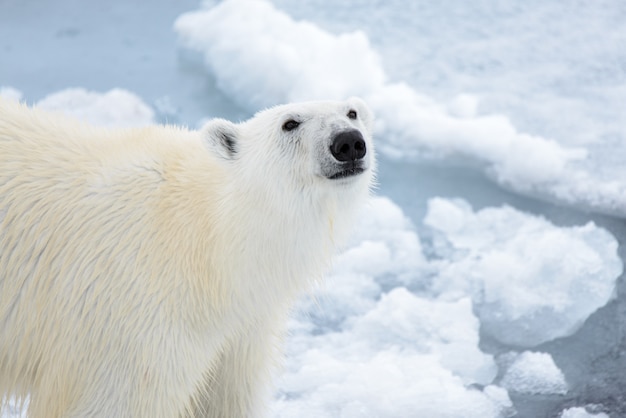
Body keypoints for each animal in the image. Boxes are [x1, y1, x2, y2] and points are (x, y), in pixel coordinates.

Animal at [0, 97, 372, 418]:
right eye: (289, 123)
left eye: (352, 112)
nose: (348, 142)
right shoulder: (132, 320)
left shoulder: (242, 331)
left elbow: (226, 399)